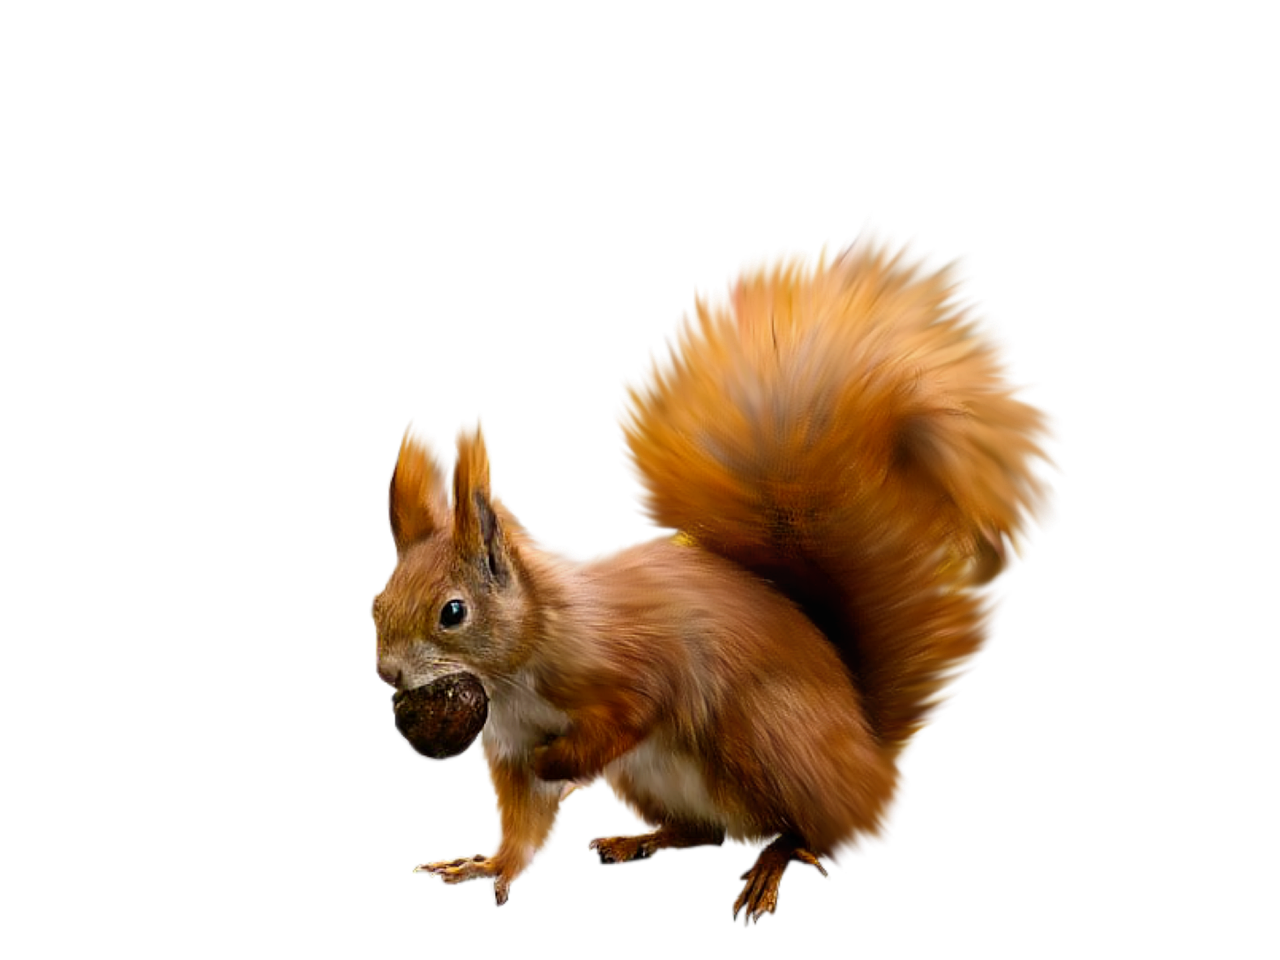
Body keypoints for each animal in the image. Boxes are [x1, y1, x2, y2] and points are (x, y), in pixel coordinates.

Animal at [372, 215, 1062, 923]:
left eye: (453, 612)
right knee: (709, 832)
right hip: (654, 778)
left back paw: (772, 866)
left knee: (799, 835)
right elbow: (523, 826)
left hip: (765, 738)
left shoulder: (628, 661)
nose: (387, 674)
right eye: (377, 603)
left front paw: (559, 759)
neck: (516, 666)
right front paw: (484, 865)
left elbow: (632, 712)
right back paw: (643, 839)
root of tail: (870, 764)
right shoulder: (507, 745)